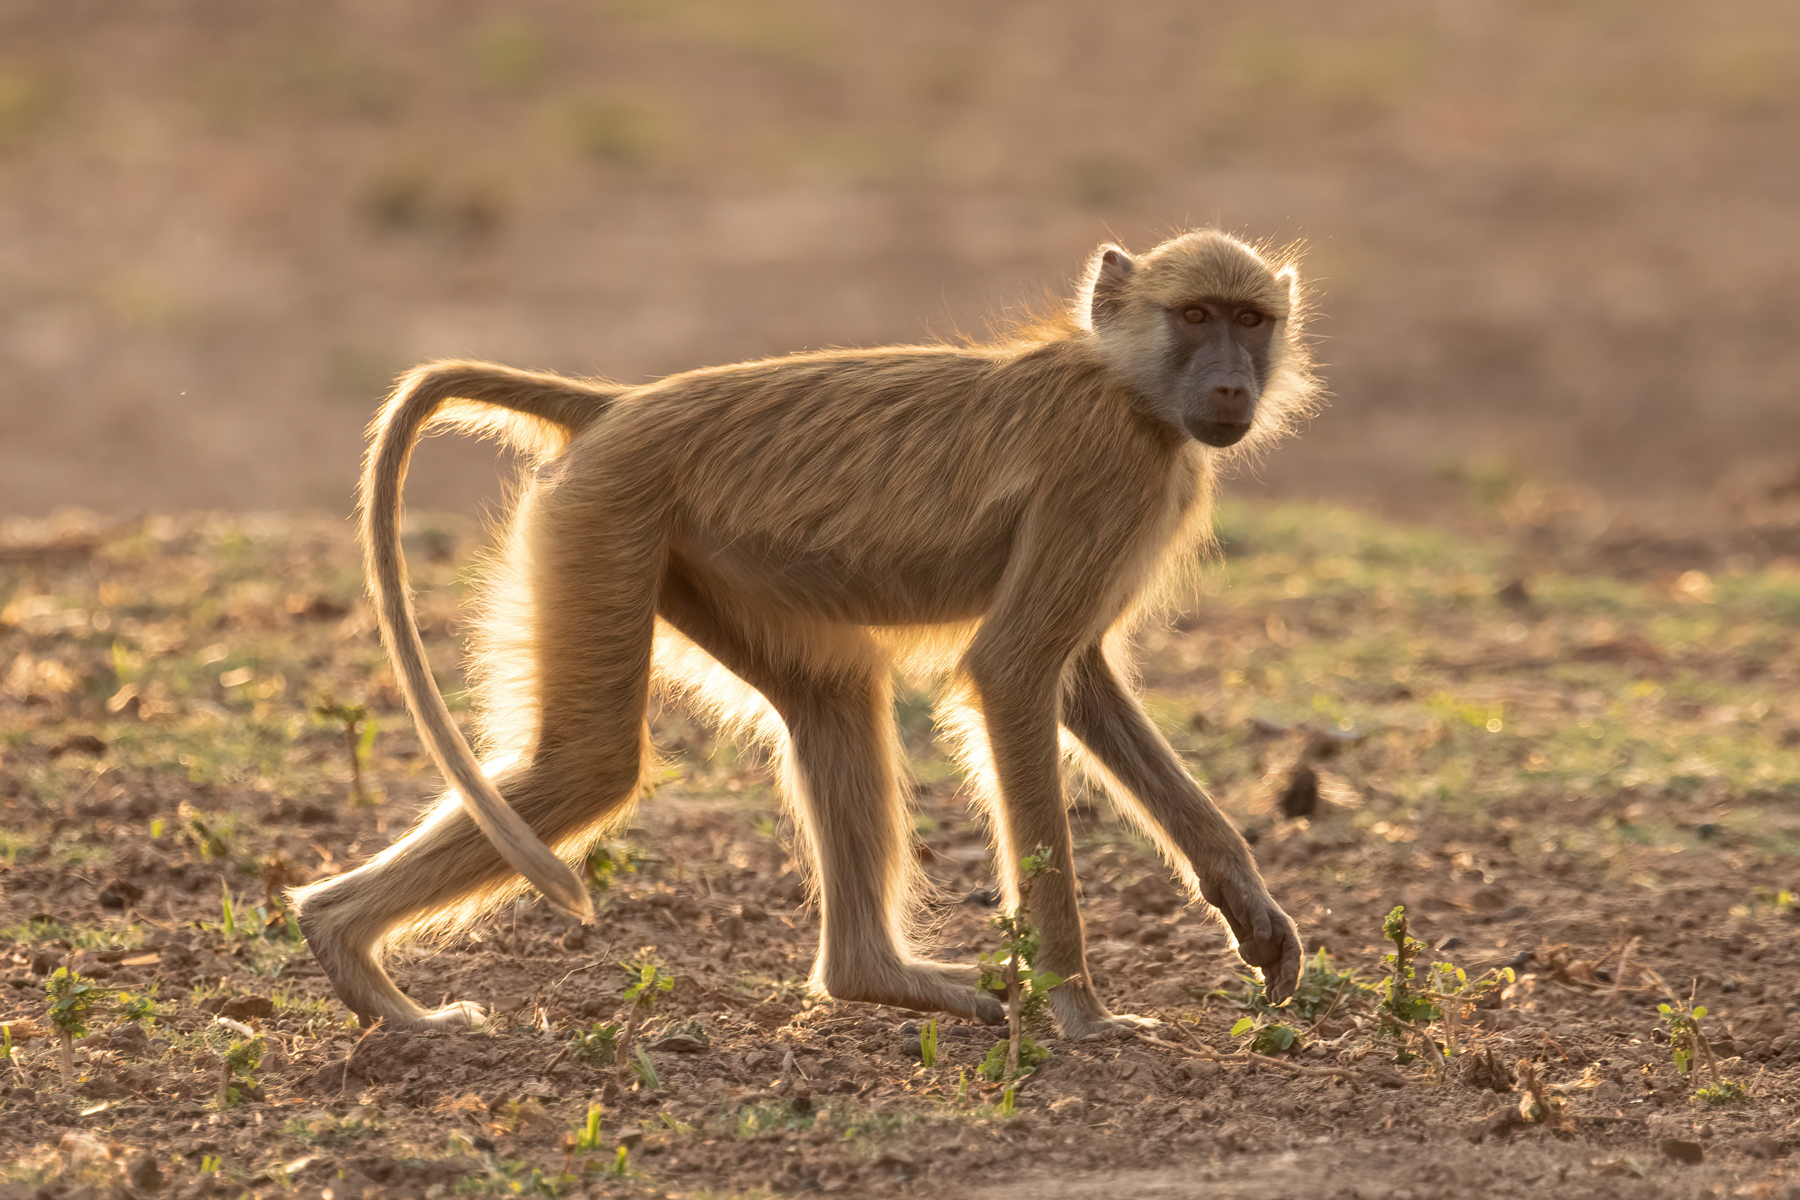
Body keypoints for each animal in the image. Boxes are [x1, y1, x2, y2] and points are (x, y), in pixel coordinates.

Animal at [290, 228, 1320, 1038]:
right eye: (1195, 316)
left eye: (1250, 321)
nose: (1231, 386)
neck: (1126, 385)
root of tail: (617, 404)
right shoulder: (1104, 470)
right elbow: (1015, 668)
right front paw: (1081, 1010)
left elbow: (1080, 683)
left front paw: (1249, 906)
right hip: (608, 515)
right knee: (590, 766)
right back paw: (352, 955)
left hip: (693, 554)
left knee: (833, 697)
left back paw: (873, 976)